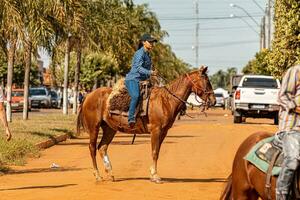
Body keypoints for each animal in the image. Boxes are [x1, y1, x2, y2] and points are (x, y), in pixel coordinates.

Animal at [77, 65, 216, 183]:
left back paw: (110, 174)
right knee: (92, 148)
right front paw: (154, 176)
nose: (213, 100)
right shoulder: (155, 130)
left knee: (102, 147)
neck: (165, 100)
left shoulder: (163, 132)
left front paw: (153, 173)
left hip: (110, 129)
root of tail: (88, 95)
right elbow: (154, 152)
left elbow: (157, 151)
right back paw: (97, 175)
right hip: (94, 128)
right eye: (206, 80)